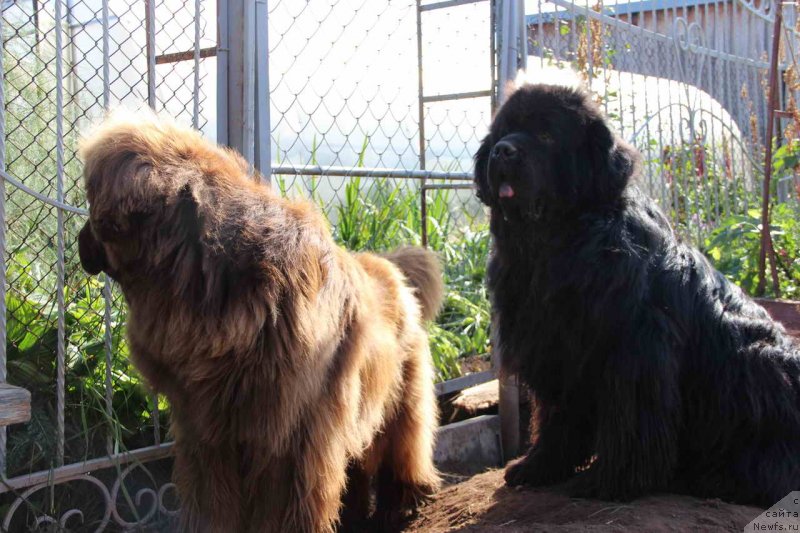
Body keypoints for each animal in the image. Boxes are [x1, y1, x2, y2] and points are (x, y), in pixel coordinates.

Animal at [79, 111, 444, 528]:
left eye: (92, 203)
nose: (80, 239)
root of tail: (387, 266)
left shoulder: (290, 432)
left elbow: (287, 500)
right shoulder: (207, 429)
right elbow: (211, 496)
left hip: (400, 396)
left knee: (402, 445)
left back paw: (402, 502)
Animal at [476, 83, 800, 502]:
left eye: (546, 135)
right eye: (504, 132)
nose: (503, 151)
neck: (554, 242)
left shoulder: (634, 348)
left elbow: (630, 420)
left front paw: (609, 481)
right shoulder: (557, 348)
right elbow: (558, 418)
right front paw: (538, 467)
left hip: (753, 360)